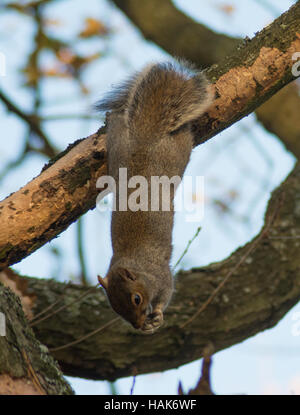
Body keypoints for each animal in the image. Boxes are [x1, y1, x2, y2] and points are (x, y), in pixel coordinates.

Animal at [96, 61, 213, 334]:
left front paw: (157, 317)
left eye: (137, 299)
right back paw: (111, 117)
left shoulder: (162, 276)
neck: (139, 266)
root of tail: (145, 137)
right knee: (117, 125)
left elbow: (166, 294)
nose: (138, 326)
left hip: (176, 152)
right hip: (118, 146)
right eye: (115, 308)